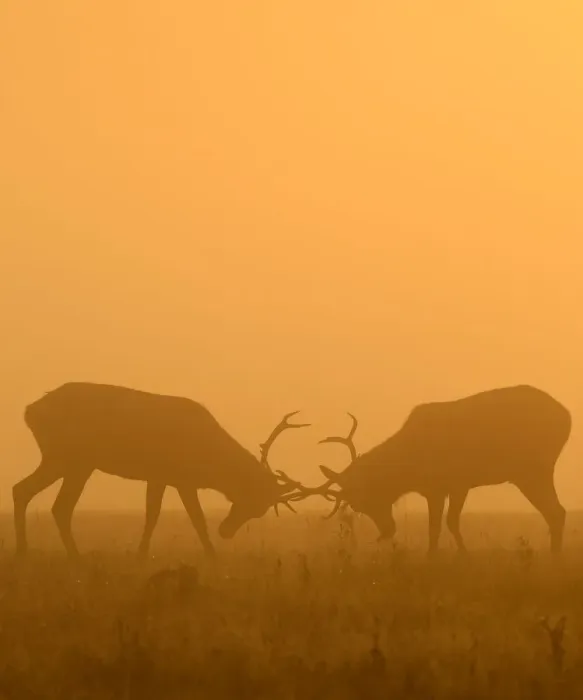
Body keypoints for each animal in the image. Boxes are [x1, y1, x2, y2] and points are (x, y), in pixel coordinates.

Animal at [13, 382, 310, 558]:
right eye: (253, 501)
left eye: (259, 510)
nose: (226, 531)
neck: (210, 461)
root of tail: (29, 412)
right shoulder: (178, 477)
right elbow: (194, 518)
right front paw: (211, 555)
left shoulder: (160, 477)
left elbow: (152, 514)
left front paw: (142, 554)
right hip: (69, 457)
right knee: (47, 500)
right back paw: (63, 556)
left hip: (72, 461)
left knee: (36, 496)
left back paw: (30, 552)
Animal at [292, 385, 571, 554]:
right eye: (358, 506)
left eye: (367, 498)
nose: (386, 531)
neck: (410, 466)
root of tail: (567, 417)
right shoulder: (435, 489)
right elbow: (436, 526)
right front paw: (438, 556)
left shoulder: (456, 482)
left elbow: (447, 523)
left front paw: (457, 555)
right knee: (556, 512)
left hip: (533, 469)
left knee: (556, 511)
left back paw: (555, 559)